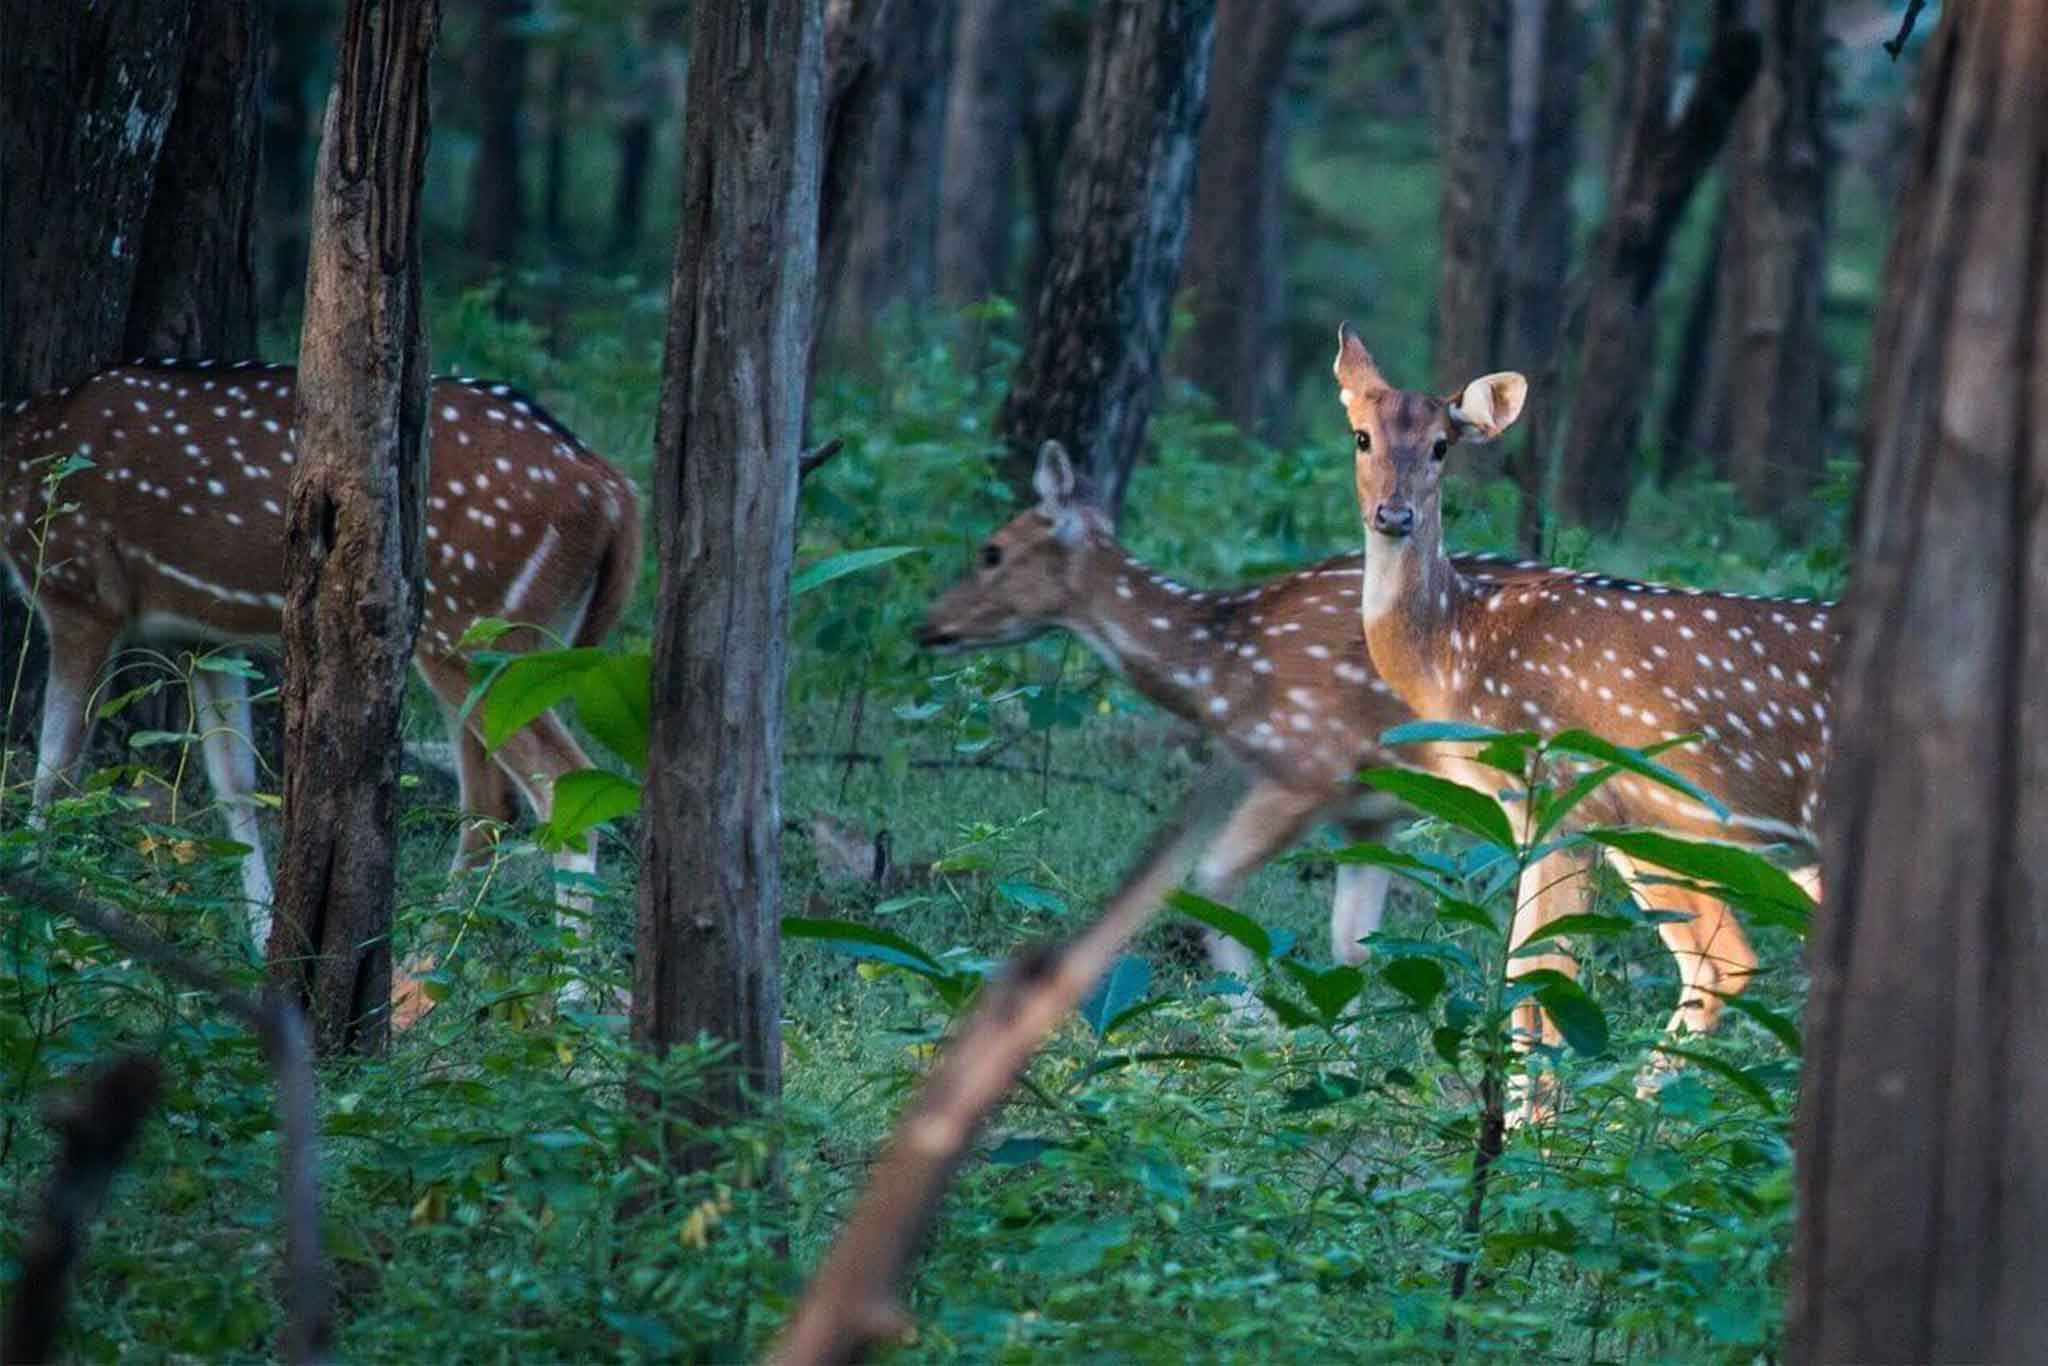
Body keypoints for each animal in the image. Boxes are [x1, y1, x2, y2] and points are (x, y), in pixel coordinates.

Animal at [2, 362, 638, 962]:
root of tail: (612, 489)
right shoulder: (202, 635)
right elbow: (234, 781)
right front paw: (263, 940)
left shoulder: (78, 589)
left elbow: (54, 768)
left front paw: (32, 918)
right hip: (528, 640)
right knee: (492, 803)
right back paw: (424, 963)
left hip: (472, 624)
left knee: (556, 784)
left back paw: (556, 988)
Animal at [917, 444, 1744, 1011]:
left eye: (991, 551)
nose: (927, 626)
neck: (1219, 664)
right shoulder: (1368, 813)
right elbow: (1351, 945)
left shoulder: (1304, 763)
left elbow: (1211, 885)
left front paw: (1255, 1024)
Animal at [1335, 325, 1835, 1056]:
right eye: (1361, 436)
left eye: (1440, 446)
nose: (1394, 514)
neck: (1458, 650)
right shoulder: (1552, 814)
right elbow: (1526, 968)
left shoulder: (1559, 788)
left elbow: (1541, 972)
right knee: (1722, 959)